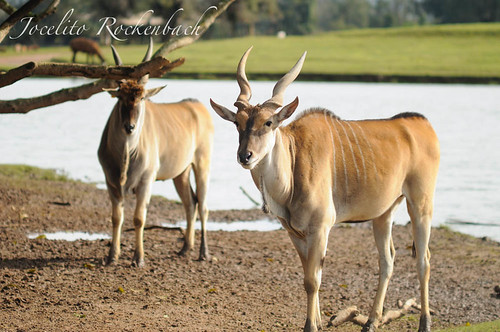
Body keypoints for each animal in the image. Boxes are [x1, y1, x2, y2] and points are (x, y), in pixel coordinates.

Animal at [98, 39, 214, 268]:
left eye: (142, 97)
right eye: (120, 96)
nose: (130, 127)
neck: (126, 153)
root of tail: (198, 106)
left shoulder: (146, 180)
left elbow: (138, 218)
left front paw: (138, 258)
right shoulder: (111, 181)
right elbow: (116, 217)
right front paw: (111, 256)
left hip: (202, 164)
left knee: (203, 206)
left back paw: (203, 252)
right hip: (181, 173)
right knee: (190, 203)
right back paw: (185, 248)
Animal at [209, 47, 440, 332]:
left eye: (269, 123)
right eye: (237, 124)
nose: (245, 156)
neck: (294, 161)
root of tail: (422, 123)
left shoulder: (320, 227)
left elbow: (313, 280)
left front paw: (311, 325)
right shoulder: (295, 232)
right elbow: (309, 274)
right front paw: (318, 322)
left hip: (420, 203)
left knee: (424, 260)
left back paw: (424, 322)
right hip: (384, 213)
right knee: (387, 260)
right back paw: (371, 321)